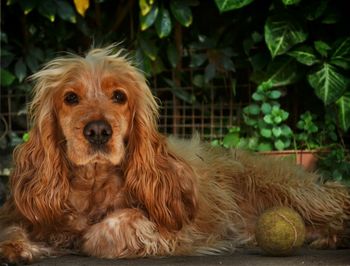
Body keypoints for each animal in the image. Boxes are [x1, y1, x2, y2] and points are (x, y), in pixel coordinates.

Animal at [0, 44, 348, 262]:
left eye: (119, 96)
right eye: (70, 97)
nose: (98, 131)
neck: (93, 184)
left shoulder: (170, 230)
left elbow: (113, 226)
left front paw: (85, 238)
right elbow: (12, 228)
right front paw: (17, 247)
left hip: (293, 190)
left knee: (338, 198)